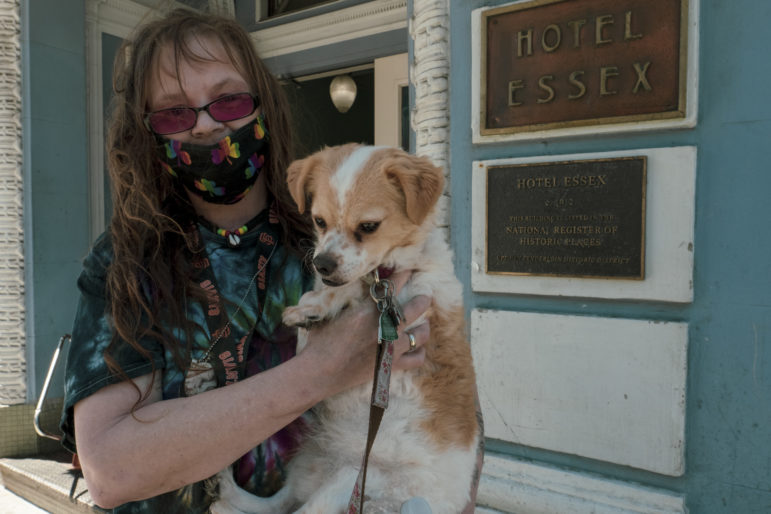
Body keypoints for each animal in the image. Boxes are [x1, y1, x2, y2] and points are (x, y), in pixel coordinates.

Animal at [208, 144, 480, 512]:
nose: (322, 265)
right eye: (319, 221)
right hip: (311, 462)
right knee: (278, 503)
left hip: (352, 478)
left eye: (369, 226)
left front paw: (321, 303)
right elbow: (313, 315)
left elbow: (354, 290)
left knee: (296, 509)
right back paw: (224, 491)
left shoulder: (416, 305)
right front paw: (310, 309)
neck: (385, 276)